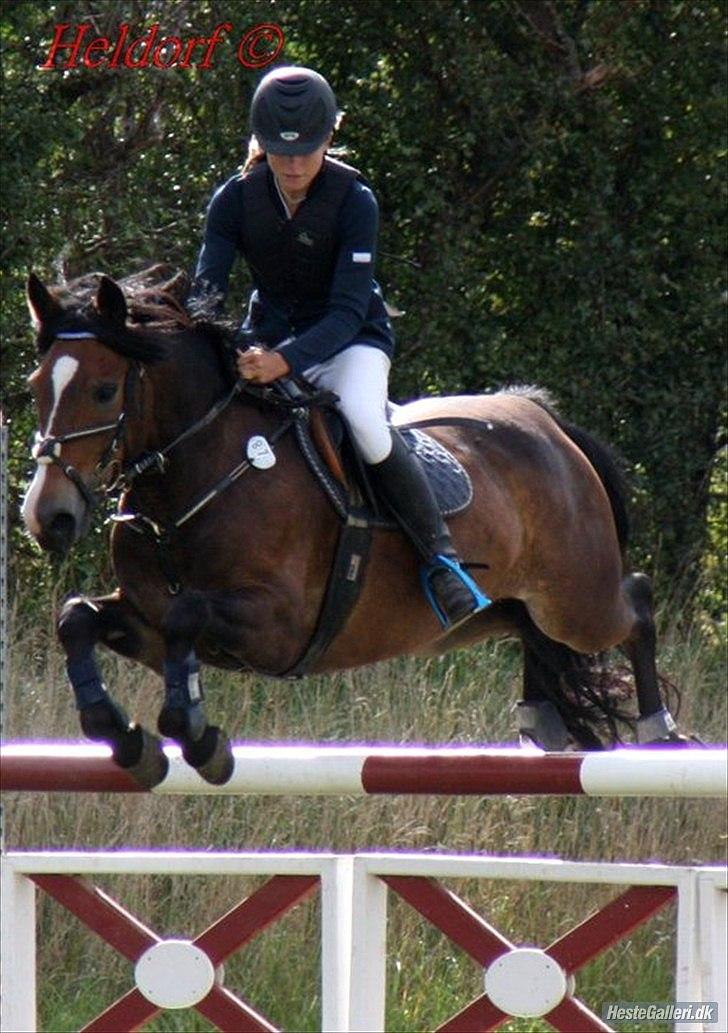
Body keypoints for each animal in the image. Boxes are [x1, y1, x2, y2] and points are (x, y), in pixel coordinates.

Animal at [20, 268, 685, 788]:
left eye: (104, 390)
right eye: (34, 388)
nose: (48, 517)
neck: (198, 469)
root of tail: (544, 420)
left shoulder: (277, 625)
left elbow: (189, 616)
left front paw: (200, 740)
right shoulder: (147, 619)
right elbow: (78, 618)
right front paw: (126, 739)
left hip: (575, 602)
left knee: (635, 601)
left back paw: (661, 731)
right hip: (502, 608)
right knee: (531, 631)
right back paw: (540, 719)